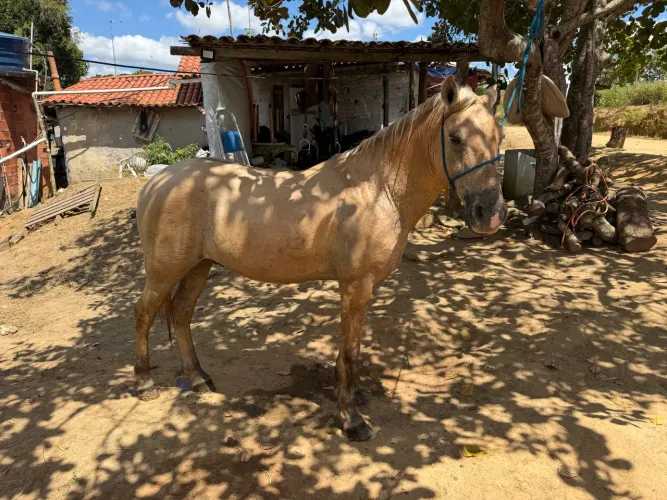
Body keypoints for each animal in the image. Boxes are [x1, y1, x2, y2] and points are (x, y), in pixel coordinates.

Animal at [134, 76, 506, 441]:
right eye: (454, 137)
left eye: (499, 138)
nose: (490, 214)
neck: (378, 191)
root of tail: (158, 182)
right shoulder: (356, 286)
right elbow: (351, 351)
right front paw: (352, 420)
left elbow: (347, 350)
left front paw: (349, 398)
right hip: (164, 272)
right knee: (143, 314)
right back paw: (145, 383)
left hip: (198, 267)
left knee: (182, 315)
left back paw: (198, 377)